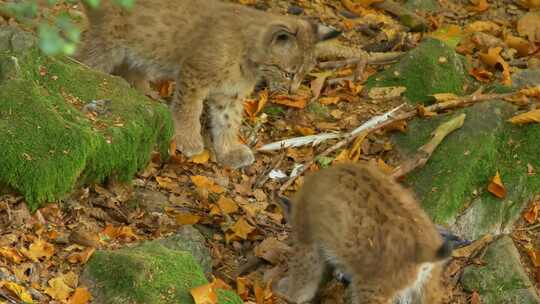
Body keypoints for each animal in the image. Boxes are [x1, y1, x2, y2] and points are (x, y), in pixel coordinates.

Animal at [76, 0, 340, 169]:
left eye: (304, 74)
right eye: (288, 73)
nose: (293, 91)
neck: (250, 58)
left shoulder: (230, 94)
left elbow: (228, 121)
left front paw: (229, 150)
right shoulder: (193, 73)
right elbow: (189, 108)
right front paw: (188, 140)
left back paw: (144, 92)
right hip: (108, 42)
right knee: (85, 60)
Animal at [284, 164, 450, 304]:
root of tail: (424, 251)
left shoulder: (306, 240)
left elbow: (302, 278)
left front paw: (288, 295)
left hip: (371, 288)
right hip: (428, 286)